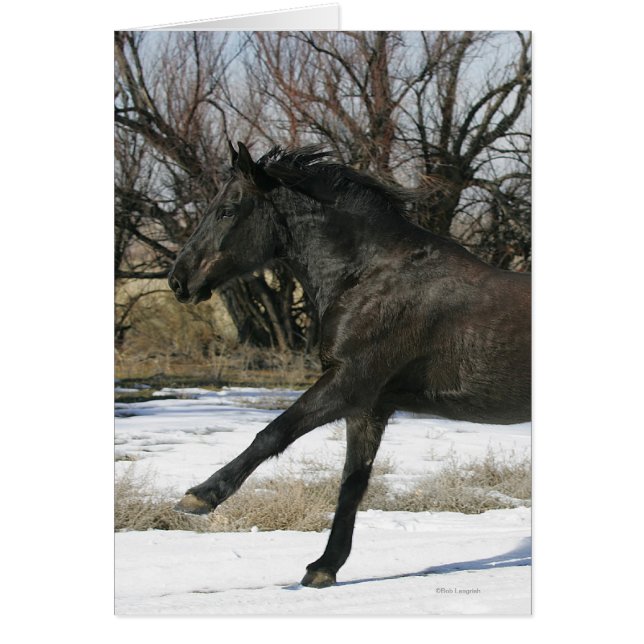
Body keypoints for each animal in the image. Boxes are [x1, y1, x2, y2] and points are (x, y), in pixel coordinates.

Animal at [168, 142, 531, 588]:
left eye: (227, 209)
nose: (178, 280)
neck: (369, 277)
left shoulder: (348, 383)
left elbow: (273, 434)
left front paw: (199, 497)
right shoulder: (370, 408)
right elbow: (352, 482)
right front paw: (324, 567)